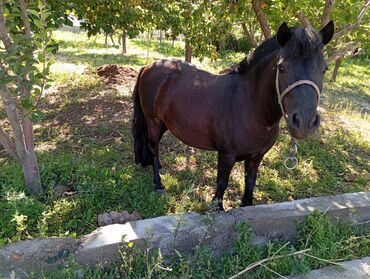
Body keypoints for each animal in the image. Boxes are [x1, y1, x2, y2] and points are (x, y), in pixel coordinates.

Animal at [132, 21, 336, 210]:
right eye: (282, 68)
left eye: (324, 69)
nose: (304, 122)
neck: (250, 106)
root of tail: (149, 66)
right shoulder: (226, 156)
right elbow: (222, 184)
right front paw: (217, 208)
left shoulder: (256, 156)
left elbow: (250, 182)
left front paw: (246, 204)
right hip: (153, 120)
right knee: (153, 146)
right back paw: (158, 183)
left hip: (165, 123)